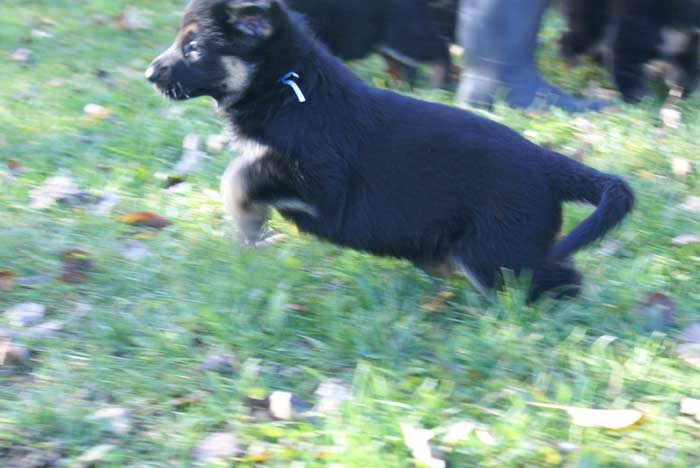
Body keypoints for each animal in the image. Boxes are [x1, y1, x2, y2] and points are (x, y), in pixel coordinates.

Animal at [148, 0, 636, 300]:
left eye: (193, 47)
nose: (150, 74)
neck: (287, 84)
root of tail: (545, 163)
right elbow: (244, 175)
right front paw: (250, 229)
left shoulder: (319, 178)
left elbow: (238, 176)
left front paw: (245, 226)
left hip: (496, 252)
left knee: (559, 279)